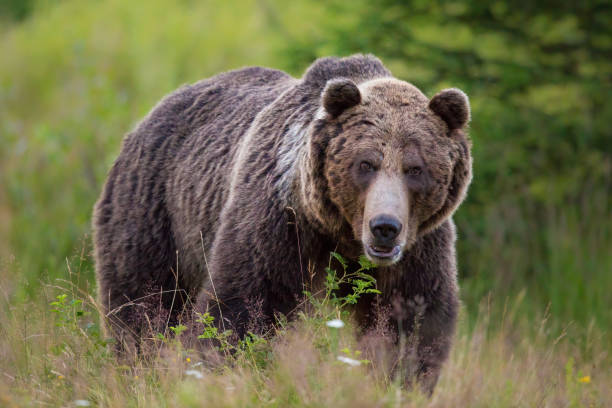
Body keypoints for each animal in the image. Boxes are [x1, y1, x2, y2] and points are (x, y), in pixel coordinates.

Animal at [92, 54, 474, 392]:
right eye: (366, 163)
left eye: (415, 169)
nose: (384, 227)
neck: (340, 232)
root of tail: (150, 114)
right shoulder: (281, 220)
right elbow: (247, 305)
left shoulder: (417, 246)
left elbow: (410, 322)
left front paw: (399, 383)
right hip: (156, 211)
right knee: (144, 305)